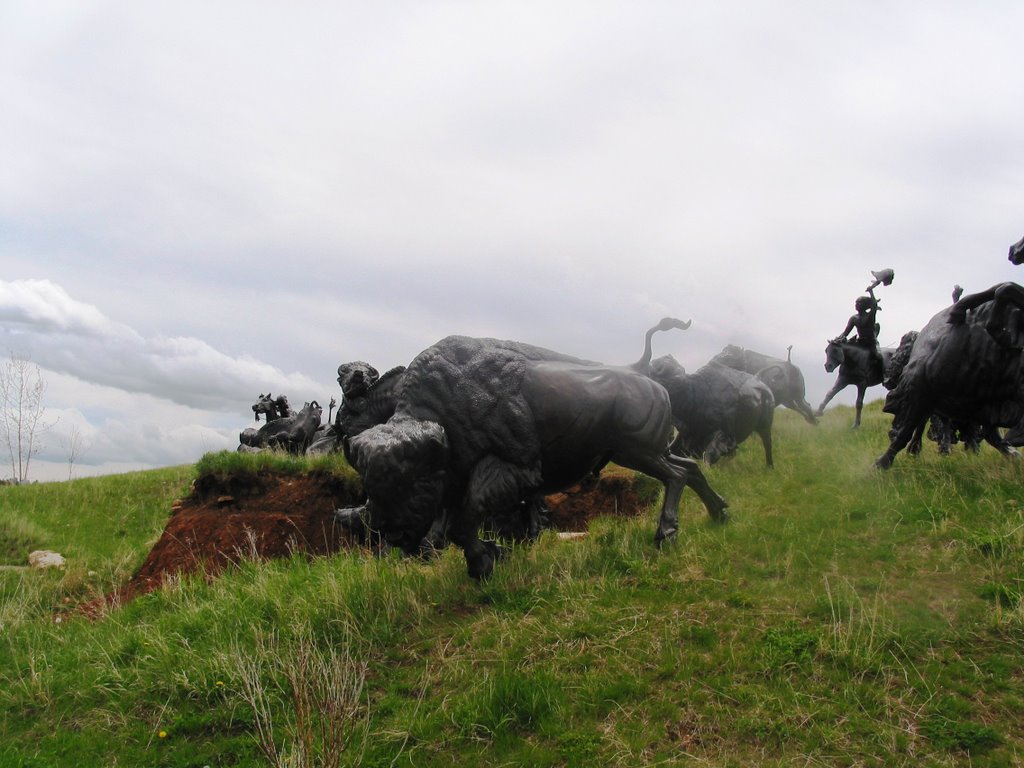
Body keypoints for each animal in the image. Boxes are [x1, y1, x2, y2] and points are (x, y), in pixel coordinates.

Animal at [335, 317, 729, 577]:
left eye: (416, 482)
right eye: (370, 484)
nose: (392, 534)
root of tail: (645, 376)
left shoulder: (514, 469)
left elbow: (465, 521)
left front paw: (484, 564)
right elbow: (459, 523)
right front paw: (494, 554)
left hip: (638, 452)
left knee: (676, 476)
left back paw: (665, 535)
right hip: (642, 451)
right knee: (691, 468)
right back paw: (720, 513)